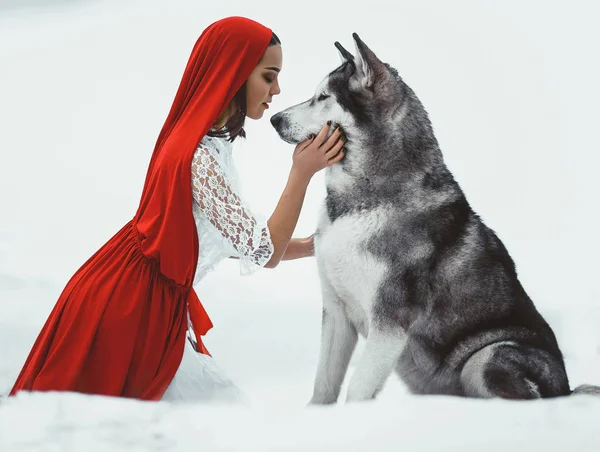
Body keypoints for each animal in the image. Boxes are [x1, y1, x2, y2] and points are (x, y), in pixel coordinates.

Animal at [272, 34, 600, 402]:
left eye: (324, 97)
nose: (274, 119)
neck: (360, 204)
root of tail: (566, 390)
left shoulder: (389, 323)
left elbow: (356, 390)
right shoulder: (336, 311)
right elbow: (324, 385)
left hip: (488, 354)